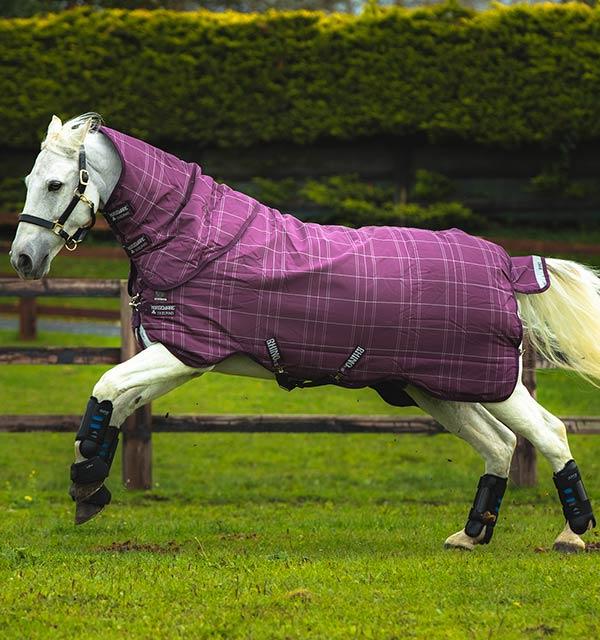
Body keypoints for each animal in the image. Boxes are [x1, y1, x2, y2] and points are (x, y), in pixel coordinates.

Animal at [9, 113, 600, 552]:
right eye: (29, 182)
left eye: (56, 183)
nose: (22, 259)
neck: (196, 239)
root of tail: (508, 266)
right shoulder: (185, 359)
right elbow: (119, 403)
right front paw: (89, 483)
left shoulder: (186, 351)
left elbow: (107, 387)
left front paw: (85, 480)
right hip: (438, 388)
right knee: (500, 445)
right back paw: (471, 535)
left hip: (492, 383)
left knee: (548, 433)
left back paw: (571, 535)